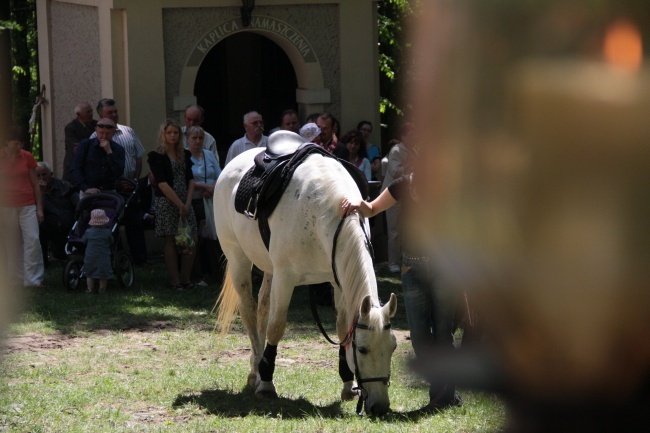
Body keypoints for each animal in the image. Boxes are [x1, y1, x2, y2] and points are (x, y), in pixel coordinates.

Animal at [214, 132, 394, 416]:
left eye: (393, 347)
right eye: (363, 349)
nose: (380, 407)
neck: (325, 210)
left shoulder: (337, 281)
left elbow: (342, 329)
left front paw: (347, 385)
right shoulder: (286, 278)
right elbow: (276, 326)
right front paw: (267, 385)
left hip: (269, 269)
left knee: (262, 308)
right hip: (238, 259)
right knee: (250, 312)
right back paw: (256, 374)